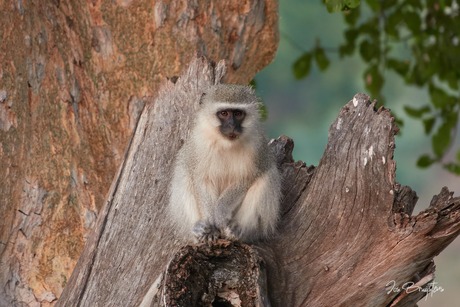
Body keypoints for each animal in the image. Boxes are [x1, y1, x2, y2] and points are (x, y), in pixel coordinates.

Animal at [169, 84, 282, 243]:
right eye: (224, 113)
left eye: (238, 114)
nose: (232, 126)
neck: (226, 143)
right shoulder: (199, 143)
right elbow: (201, 178)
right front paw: (210, 222)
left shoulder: (257, 146)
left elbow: (247, 178)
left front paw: (220, 213)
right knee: (183, 172)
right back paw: (197, 229)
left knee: (268, 176)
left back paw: (238, 231)